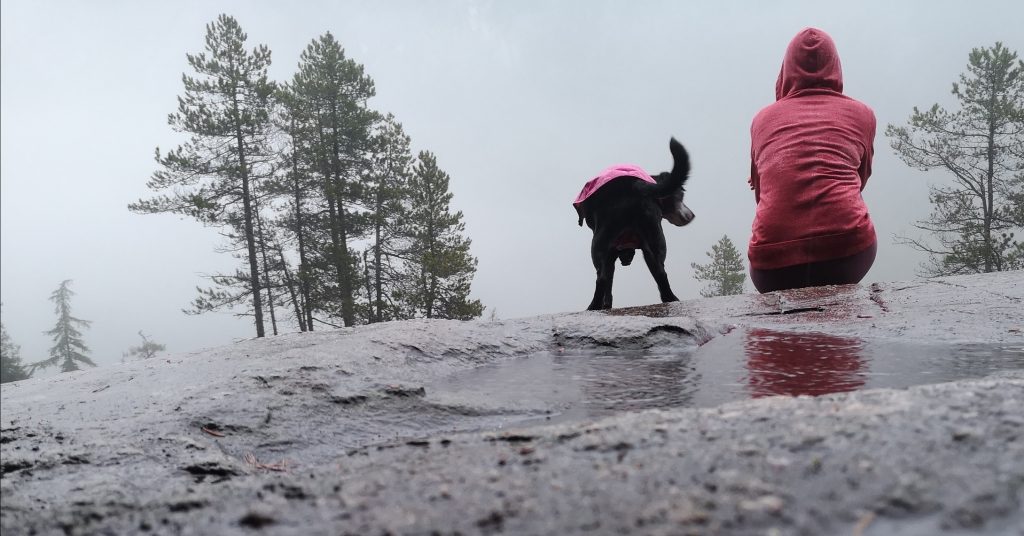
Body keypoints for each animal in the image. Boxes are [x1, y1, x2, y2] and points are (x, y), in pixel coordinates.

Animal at [573, 138, 692, 309]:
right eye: (681, 196)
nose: (691, 215)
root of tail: (632, 184)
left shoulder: (610, 253)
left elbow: (608, 281)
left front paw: (605, 305)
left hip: (598, 244)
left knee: (601, 278)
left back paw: (593, 306)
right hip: (655, 239)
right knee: (660, 272)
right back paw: (670, 299)